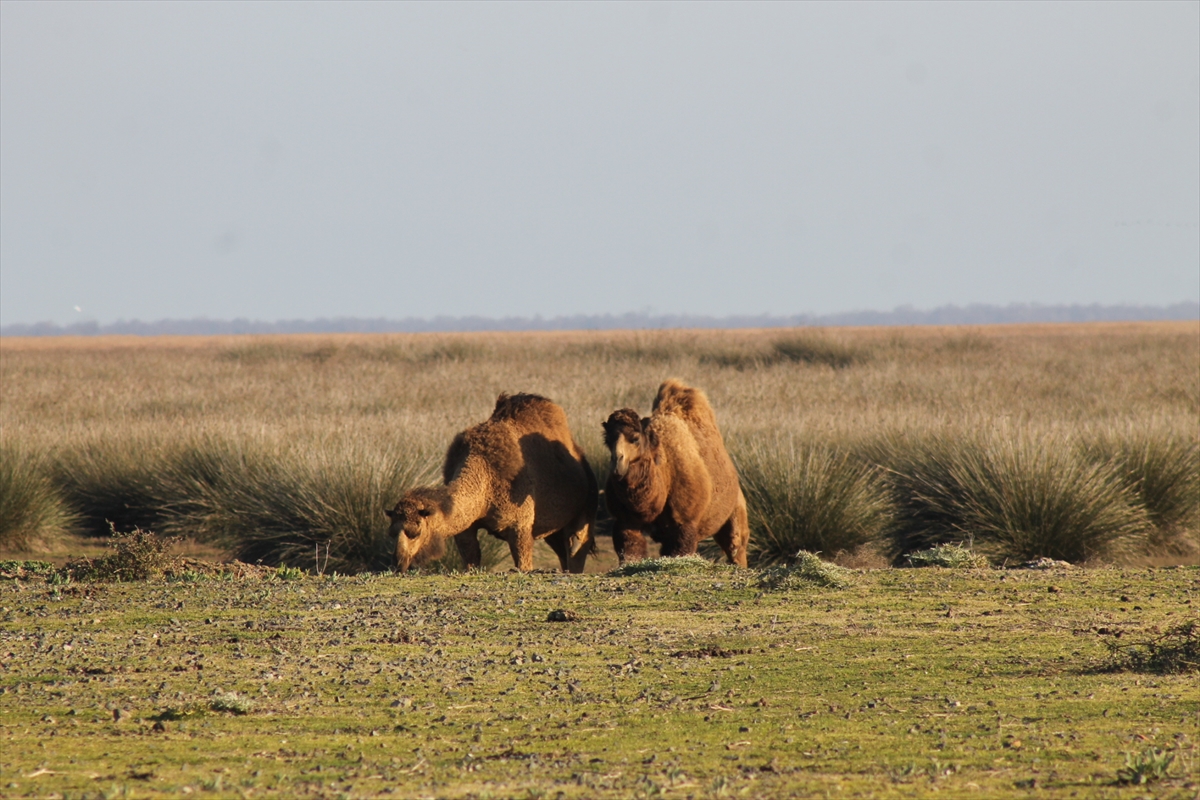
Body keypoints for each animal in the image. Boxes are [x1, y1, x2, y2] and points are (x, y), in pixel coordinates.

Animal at [386, 391, 597, 573]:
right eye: (391, 532)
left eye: (415, 532)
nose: (398, 562)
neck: (484, 476)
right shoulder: (466, 528)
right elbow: (471, 558)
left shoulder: (520, 525)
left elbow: (524, 564)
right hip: (553, 529)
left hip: (586, 504)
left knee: (576, 545)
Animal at [604, 379, 744, 566]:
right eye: (607, 440)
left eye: (635, 439)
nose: (617, 461)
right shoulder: (625, 521)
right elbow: (631, 553)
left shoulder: (684, 523)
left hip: (735, 513)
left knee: (735, 547)